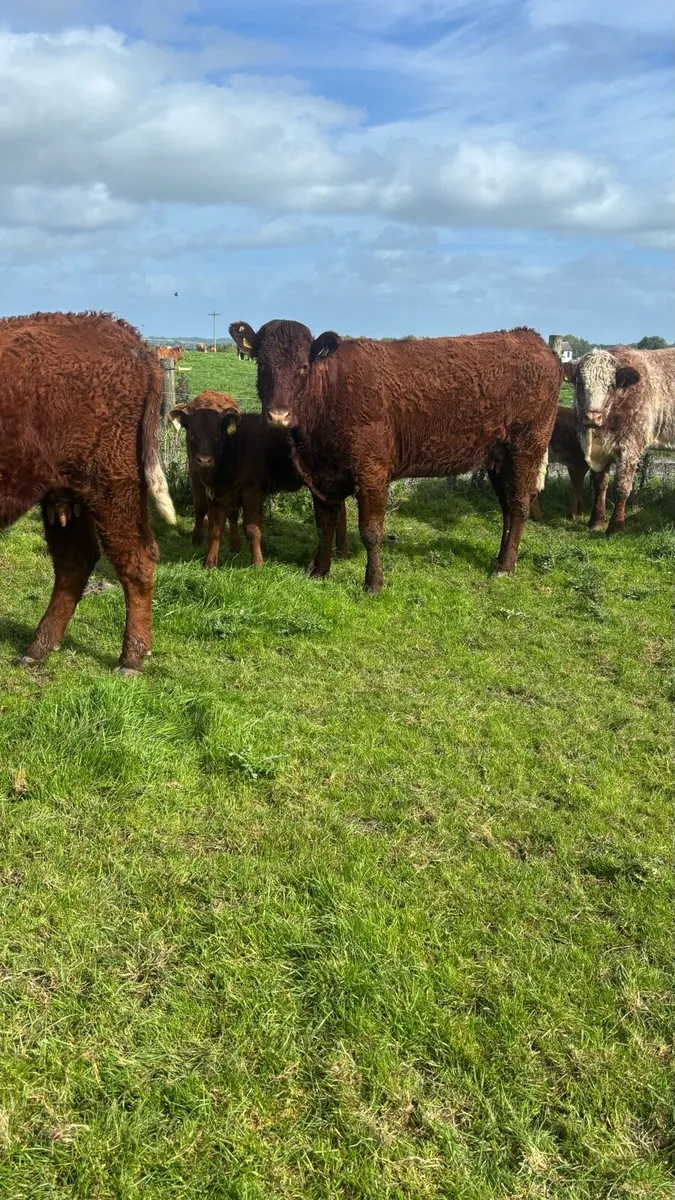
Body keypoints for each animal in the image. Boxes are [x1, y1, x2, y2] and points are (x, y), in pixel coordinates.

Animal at [0, 312, 176, 674]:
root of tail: (129, 338)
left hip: (113, 487)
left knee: (136, 560)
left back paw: (130, 660)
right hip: (66, 497)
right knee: (75, 562)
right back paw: (37, 649)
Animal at [169, 393, 348, 568]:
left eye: (218, 435)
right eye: (192, 433)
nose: (204, 460)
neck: (234, 449)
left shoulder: (252, 493)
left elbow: (252, 529)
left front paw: (257, 563)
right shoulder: (218, 495)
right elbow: (216, 530)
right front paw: (210, 563)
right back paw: (339, 553)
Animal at [229, 320, 560, 589]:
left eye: (303, 367)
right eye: (261, 364)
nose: (278, 416)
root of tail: (528, 337)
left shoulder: (372, 472)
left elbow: (370, 531)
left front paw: (373, 583)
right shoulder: (322, 478)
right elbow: (324, 525)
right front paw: (319, 571)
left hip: (526, 446)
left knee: (519, 505)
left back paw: (504, 567)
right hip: (498, 457)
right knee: (507, 508)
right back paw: (500, 558)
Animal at [564, 347, 675, 533]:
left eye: (610, 386)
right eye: (580, 384)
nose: (592, 417)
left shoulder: (630, 448)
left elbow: (622, 487)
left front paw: (615, 526)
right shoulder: (596, 452)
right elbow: (600, 485)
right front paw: (596, 521)